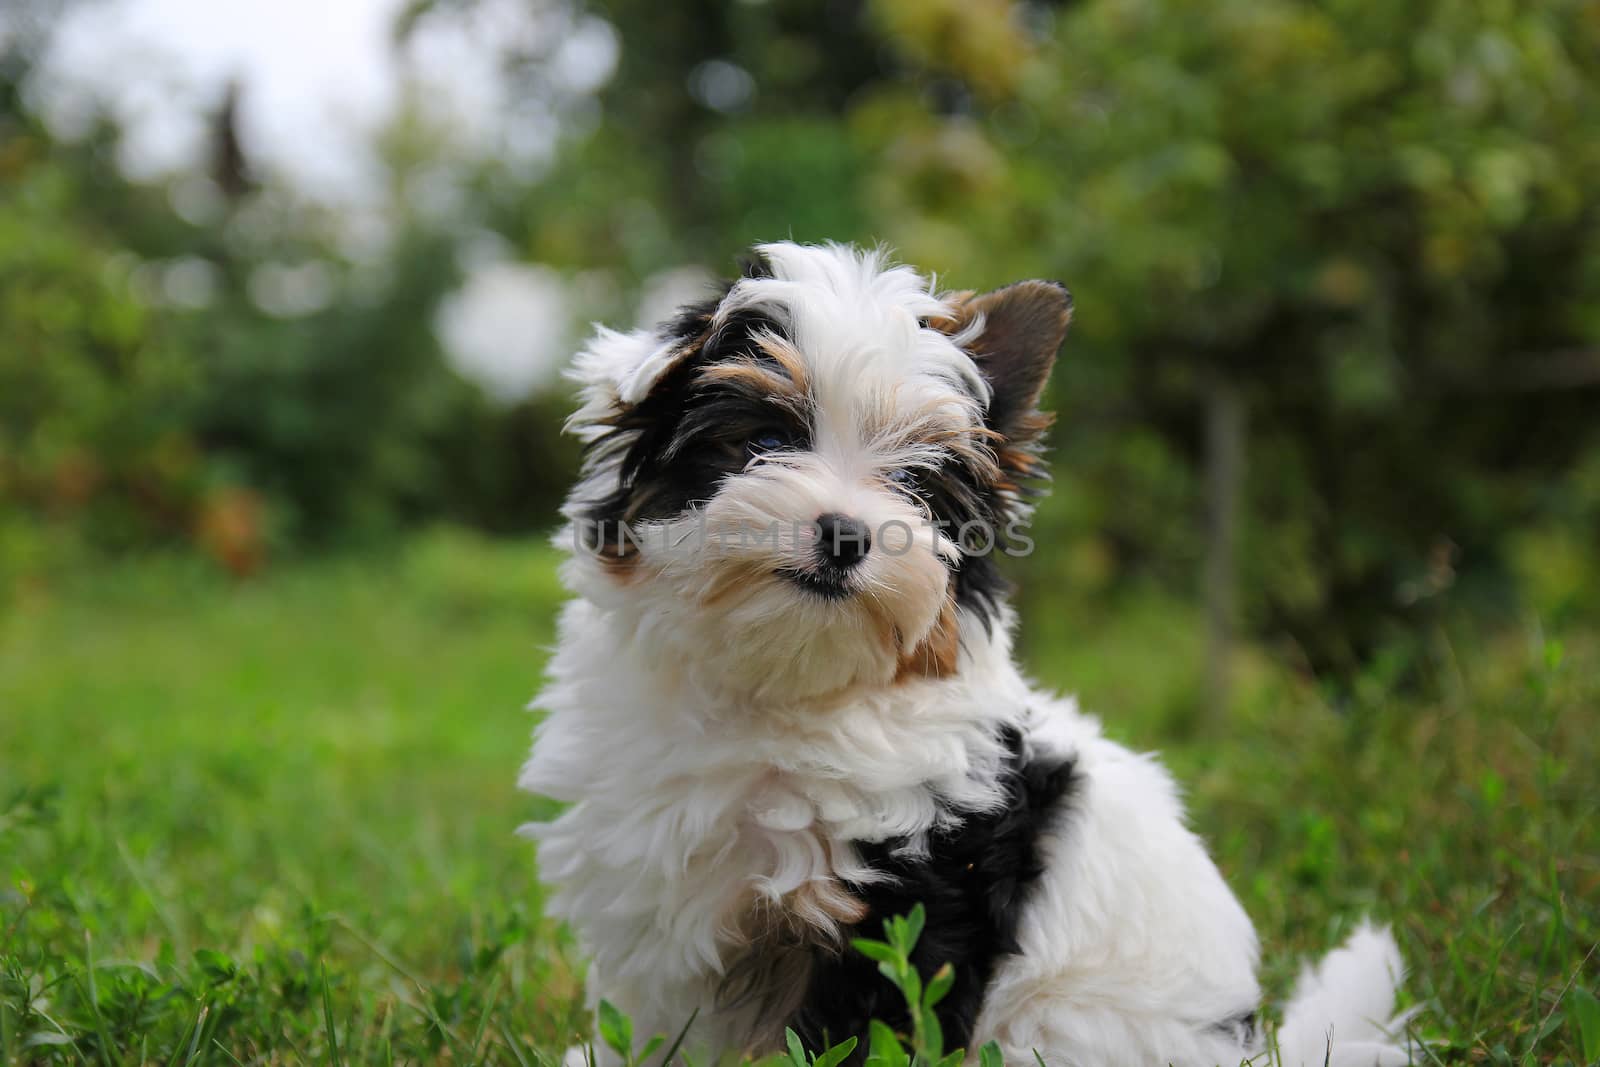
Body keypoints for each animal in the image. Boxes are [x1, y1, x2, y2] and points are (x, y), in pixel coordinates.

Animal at [524, 241, 1414, 1067]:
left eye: (915, 484)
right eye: (767, 437)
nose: (846, 534)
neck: (781, 682)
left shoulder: (911, 898)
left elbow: (863, 1029)